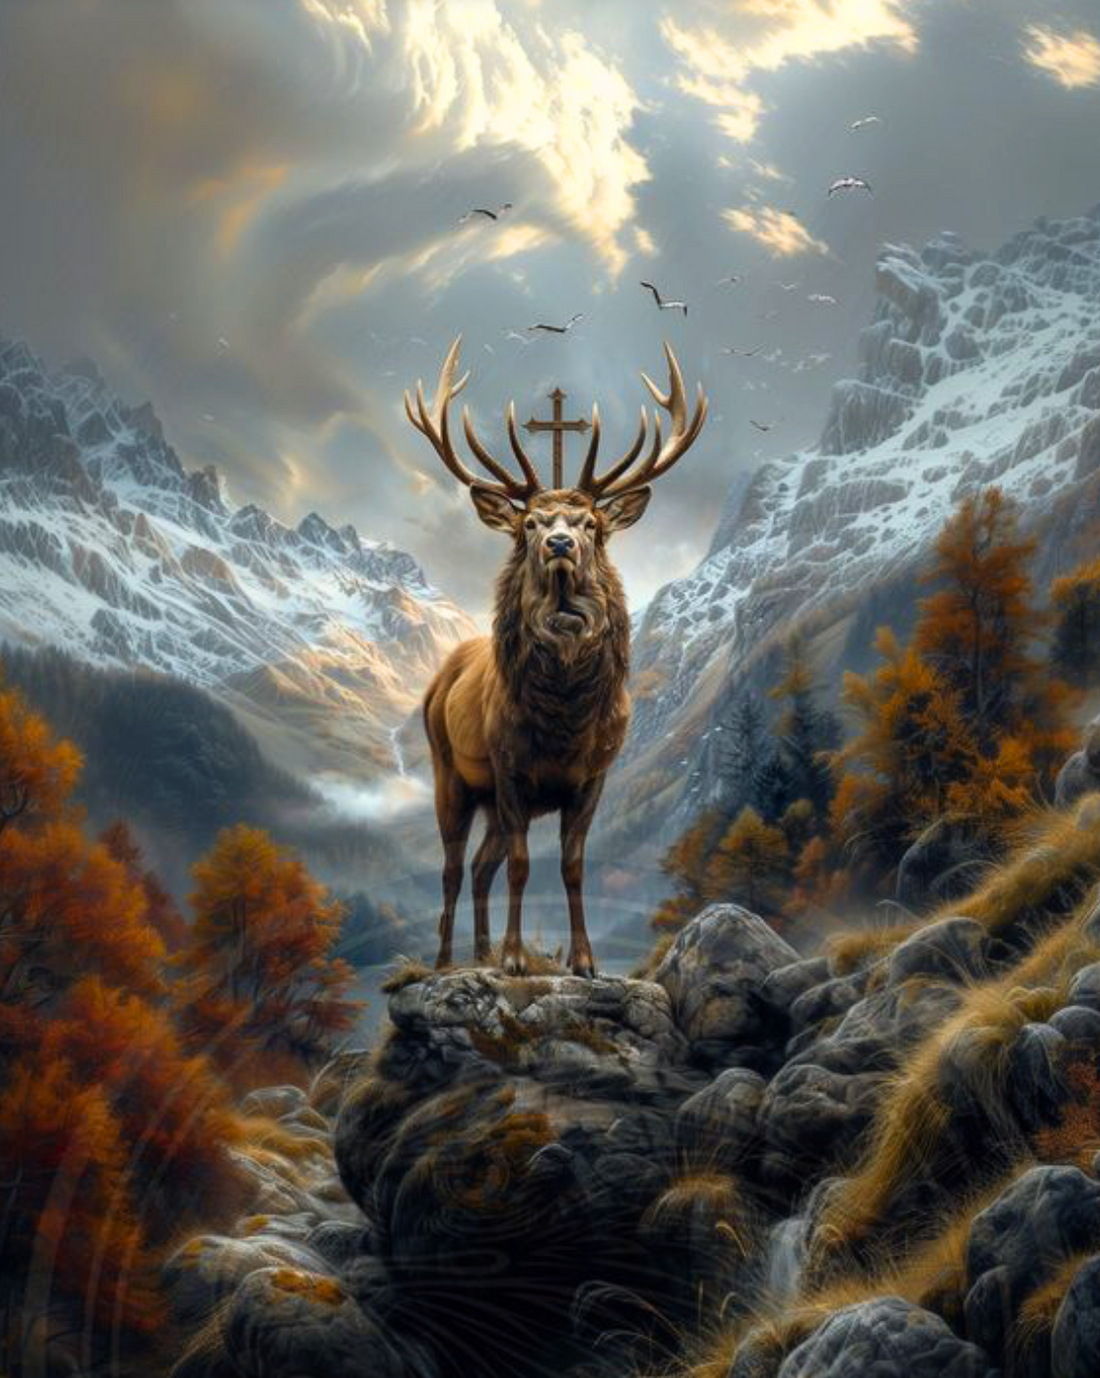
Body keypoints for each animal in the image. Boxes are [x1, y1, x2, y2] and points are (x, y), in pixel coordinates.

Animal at [405, 338, 707, 977]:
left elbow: (572, 867)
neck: (564, 719)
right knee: (453, 867)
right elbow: (523, 866)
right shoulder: (509, 768)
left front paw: (584, 961)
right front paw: (517, 960)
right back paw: (447, 962)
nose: (560, 543)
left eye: (591, 522)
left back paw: (480, 951)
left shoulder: (592, 777)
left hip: (490, 801)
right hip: (452, 773)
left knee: (480, 867)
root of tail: (440, 678)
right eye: (529, 522)